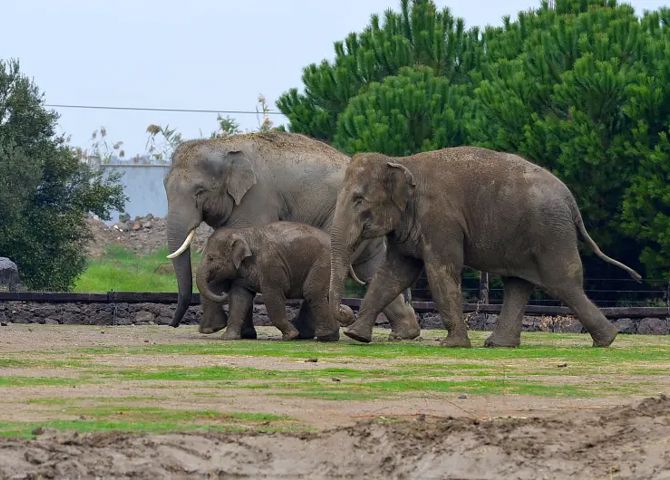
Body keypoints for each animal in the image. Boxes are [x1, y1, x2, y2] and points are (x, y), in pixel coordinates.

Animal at [197, 221, 354, 342]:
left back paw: (325, 337)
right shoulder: (242, 273)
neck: (243, 233)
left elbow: (272, 296)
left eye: (211, 258)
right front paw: (228, 338)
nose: (223, 292)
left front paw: (290, 336)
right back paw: (331, 336)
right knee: (324, 295)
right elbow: (239, 297)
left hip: (324, 262)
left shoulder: (270, 265)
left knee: (312, 291)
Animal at [330, 146, 644, 348]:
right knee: (518, 283)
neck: (402, 161)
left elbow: (440, 271)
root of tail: (571, 201)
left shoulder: (441, 220)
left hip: (550, 233)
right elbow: (393, 274)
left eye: (359, 200)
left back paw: (607, 340)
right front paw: (357, 337)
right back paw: (498, 344)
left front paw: (452, 345)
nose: (345, 315)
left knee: (562, 283)